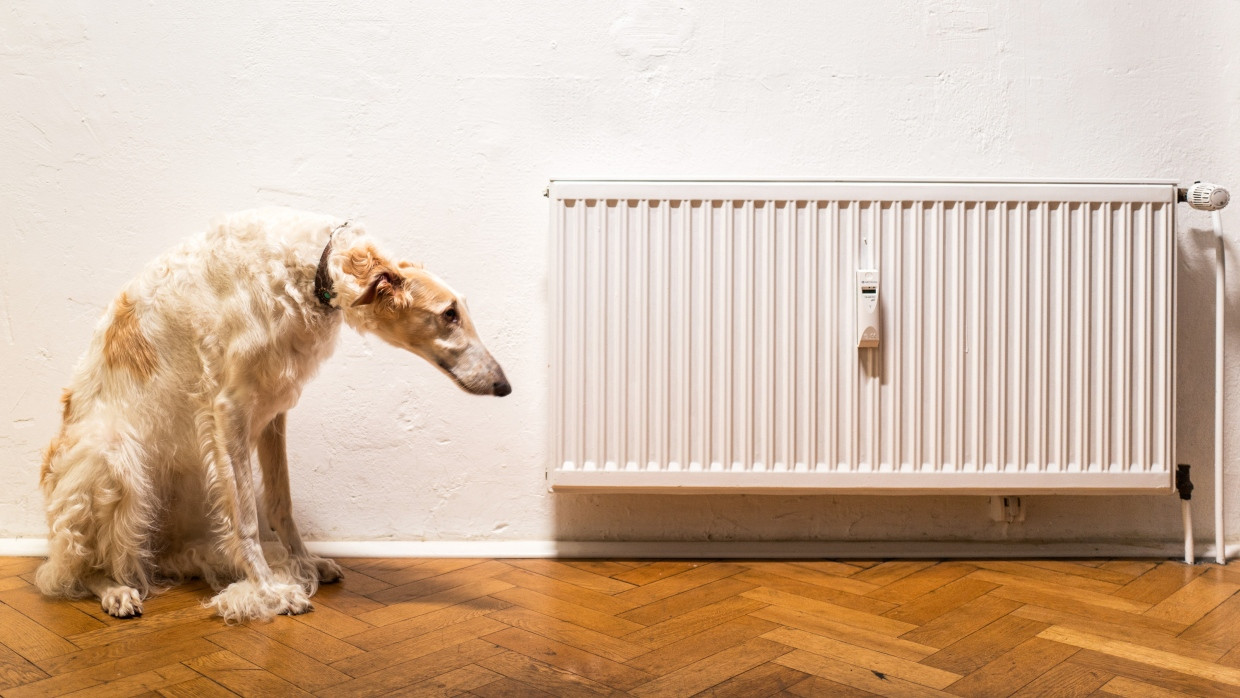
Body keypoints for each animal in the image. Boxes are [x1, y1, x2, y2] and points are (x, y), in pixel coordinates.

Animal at [35, 209, 508, 622]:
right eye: (449, 314)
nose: (504, 386)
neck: (310, 268)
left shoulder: (273, 409)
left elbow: (281, 504)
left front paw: (304, 564)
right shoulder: (230, 410)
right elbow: (246, 519)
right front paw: (270, 591)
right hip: (112, 460)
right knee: (73, 572)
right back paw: (116, 589)